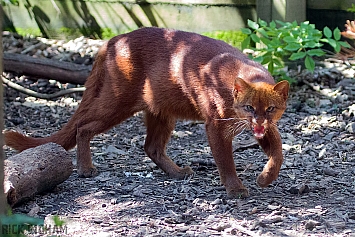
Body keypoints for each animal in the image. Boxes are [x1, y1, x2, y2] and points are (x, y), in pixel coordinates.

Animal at [4, 26, 290, 198]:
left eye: (271, 108)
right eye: (249, 107)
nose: (258, 121)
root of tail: (112, 40)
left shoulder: (266, 127)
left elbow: (278, 151)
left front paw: (265, 178)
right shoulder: (217, 125)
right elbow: (226, 160)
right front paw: (236, 189)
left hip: (161, 111)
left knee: (151, 146)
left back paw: (178, 172)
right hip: (118, 101)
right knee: (82, 126)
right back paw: (86, 169)